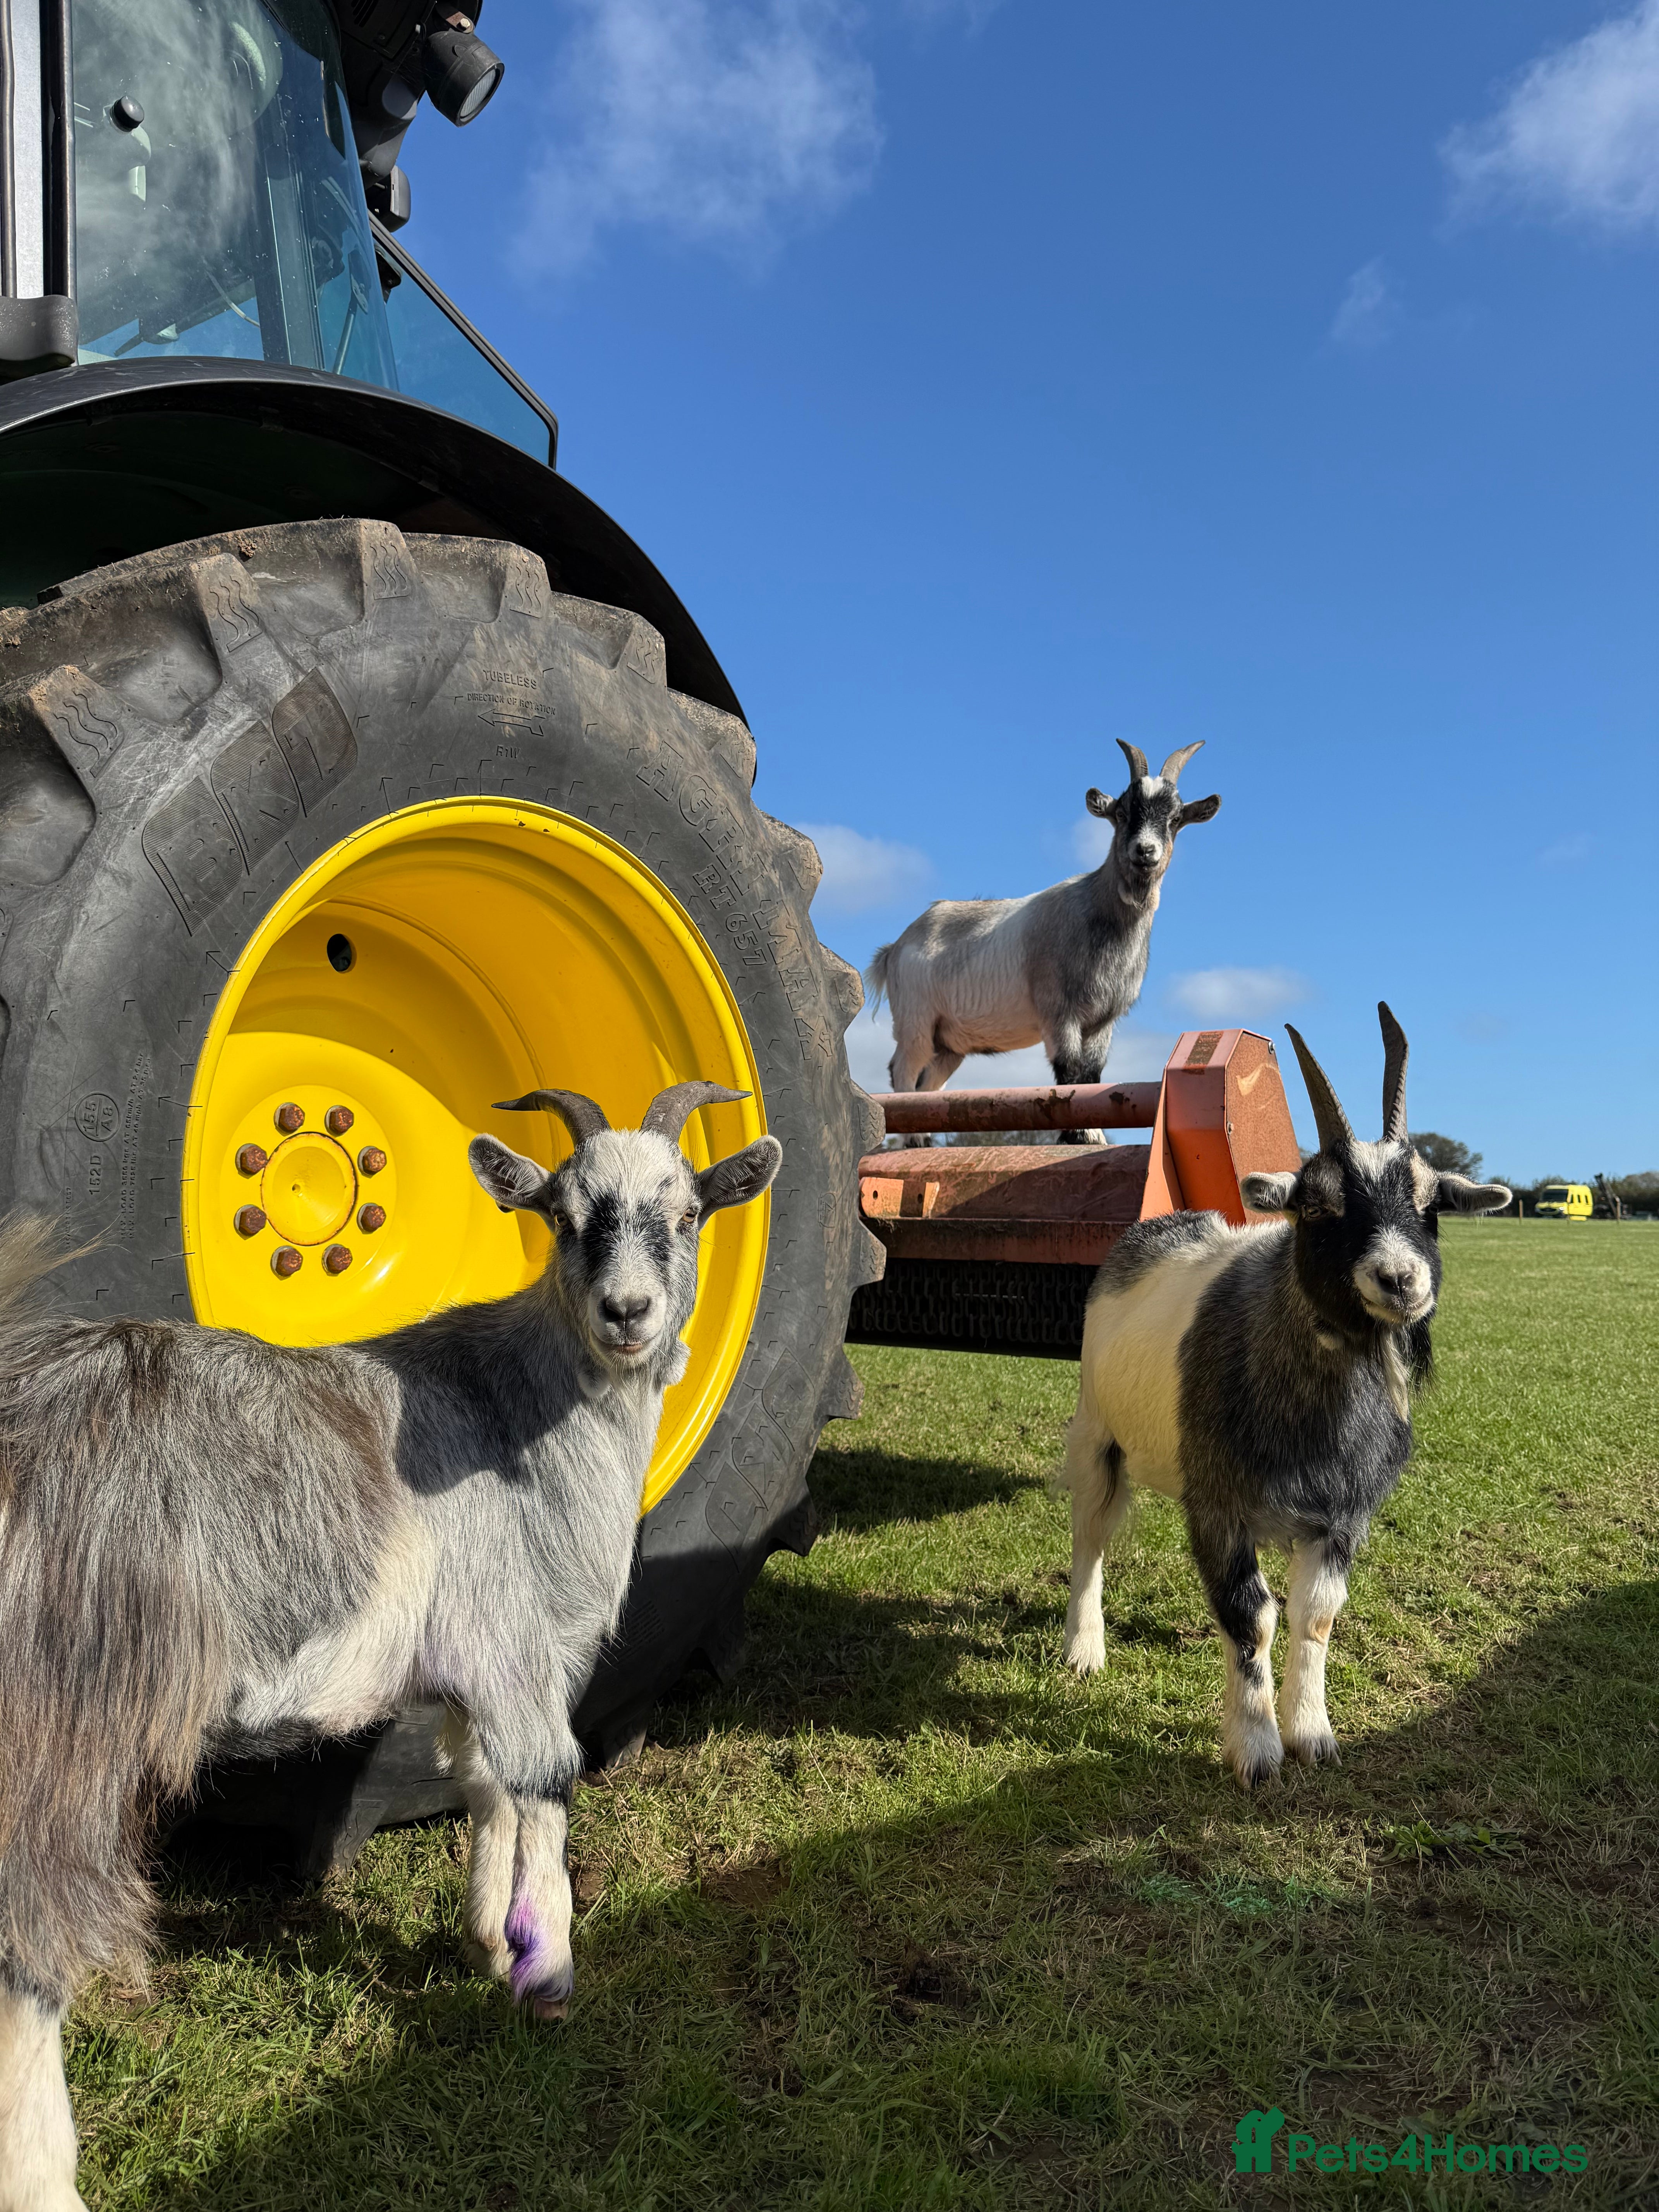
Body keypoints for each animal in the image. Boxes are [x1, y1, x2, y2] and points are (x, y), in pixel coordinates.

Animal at [0, 1083, 780, 2212]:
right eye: (561, 1215)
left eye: (686, 1213)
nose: (627, 1314)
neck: (517, 1411)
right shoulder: (510, 1639)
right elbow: (545, 1778)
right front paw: (550, 1976)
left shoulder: (478, 1663)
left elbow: (484, 1782)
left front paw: (491, 1941)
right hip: (64, 1713)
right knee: (30, 1940)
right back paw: (45, 2180)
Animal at [866, 741, 1220, 1141]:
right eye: (1122, 812)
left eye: (1175, 819)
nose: (1145, 851)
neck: (1096, 912)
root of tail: (894, 949)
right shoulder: (1059, 1013)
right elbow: (1070, 1075)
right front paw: (1077, 1136)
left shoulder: (1103, 1022)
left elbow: (1091, 1078)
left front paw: (1090, 1136)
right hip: (916, 1021)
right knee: (903, 1073)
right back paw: (914, 1142)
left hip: (950, 1043)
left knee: (929, 1088)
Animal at [1056, 1006, 1510, 1786]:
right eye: (1317, 1207)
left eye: (1432, 1204)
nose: (1400, 1280)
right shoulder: (1220, 1505)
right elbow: (1251, 1616)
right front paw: (1256, 1749)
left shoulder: (1340, 1515)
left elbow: (1315, 1614)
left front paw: (1312, 1733)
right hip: (1096, 1433)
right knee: (1090, 1535)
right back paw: (1083, 1651)